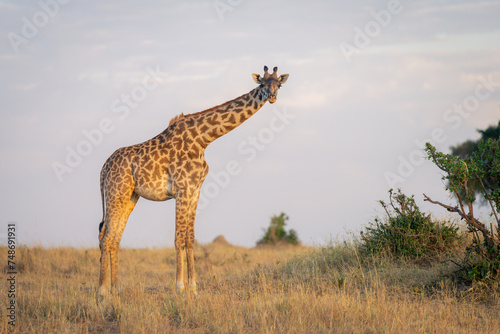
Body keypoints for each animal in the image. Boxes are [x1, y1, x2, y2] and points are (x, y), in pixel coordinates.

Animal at [97, 66, 290, 296]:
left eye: (278, 85)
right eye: (262, 84)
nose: (272, 97)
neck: (203, 140)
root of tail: (104, 168)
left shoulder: (195, 190)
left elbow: (190, 238)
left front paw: (194, 288)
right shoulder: (181, 189)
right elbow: (179, 237)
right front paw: (180, 287)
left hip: (130, 196)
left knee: (113, 238)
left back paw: (115, 289)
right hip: (116, 192)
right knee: (106, 238)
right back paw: (102, 291)